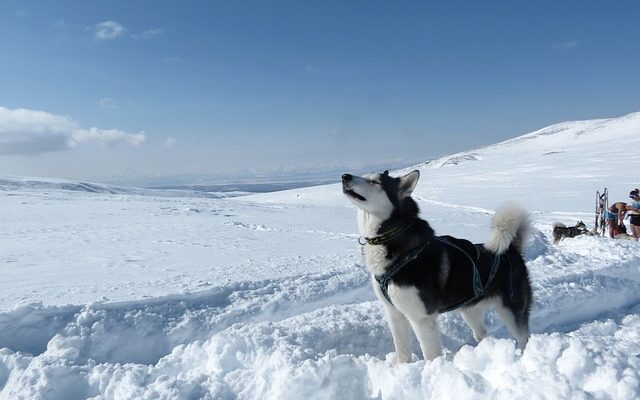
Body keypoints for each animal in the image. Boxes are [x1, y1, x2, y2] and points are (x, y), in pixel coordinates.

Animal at [342, 170, 532, 364]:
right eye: (365, 176)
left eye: (375, 182)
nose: (345, 176)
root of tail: (511, 250)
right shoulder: (395, 314)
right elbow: (402, 350)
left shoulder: (422, 318)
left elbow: (431, 354)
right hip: (470, 311)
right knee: (483, 334)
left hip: (511, 311)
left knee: (524, 338)